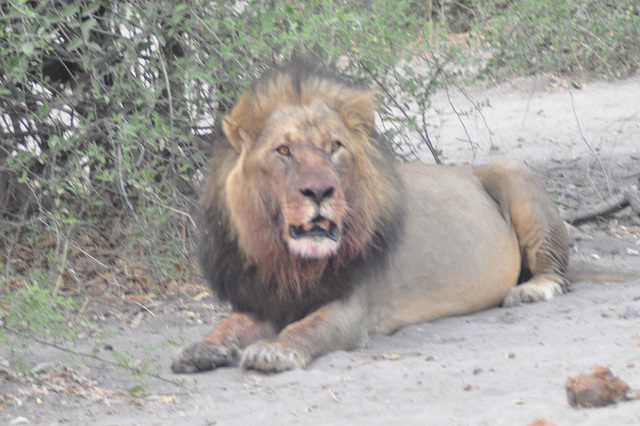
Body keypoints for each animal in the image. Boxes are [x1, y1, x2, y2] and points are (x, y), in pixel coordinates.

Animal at [168, 61, 596, 374]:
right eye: (283, 151)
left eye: (335, 147)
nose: (320, 192)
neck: (288, 261)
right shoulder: (260, 299)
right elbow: (229, 325)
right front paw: (201, 349)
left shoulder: (350, 308)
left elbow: (309, 327)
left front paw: (273, 351)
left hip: (512, 170)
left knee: (556, 275)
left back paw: (529, 291)